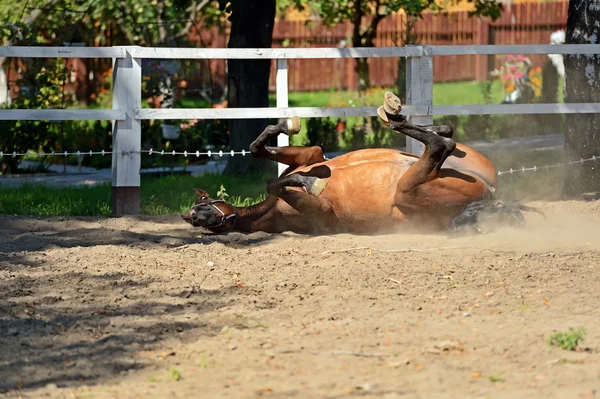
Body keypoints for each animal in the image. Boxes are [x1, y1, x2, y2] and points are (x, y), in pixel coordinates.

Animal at [183, 93, 528, 238]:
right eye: (194, 214)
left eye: (203, 201)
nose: (196, 215)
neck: (271, 212)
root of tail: (491, 196)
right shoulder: (322, 215)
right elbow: (275, 182)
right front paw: (311, 183)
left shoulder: (312, 156)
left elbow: (259, 149)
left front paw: (286, 125)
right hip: (407, 190)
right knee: (441, 146)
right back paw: (395, 116)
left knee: (446, 140)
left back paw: (397, 115)